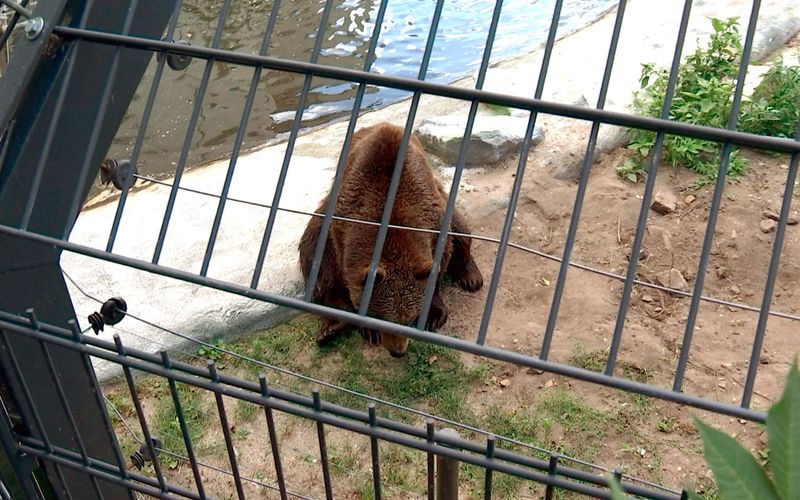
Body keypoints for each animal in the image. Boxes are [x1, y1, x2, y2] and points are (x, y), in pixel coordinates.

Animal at [298, 123, 482, 358]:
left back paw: (471, 277)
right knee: (314, 252)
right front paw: (368, 329)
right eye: (380, 317)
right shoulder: (342, 224)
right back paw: (332, 325)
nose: (398, 351)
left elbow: (441, 261)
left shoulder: (434, 218)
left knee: (461, 232)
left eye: (408, 318)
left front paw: (433, 314)